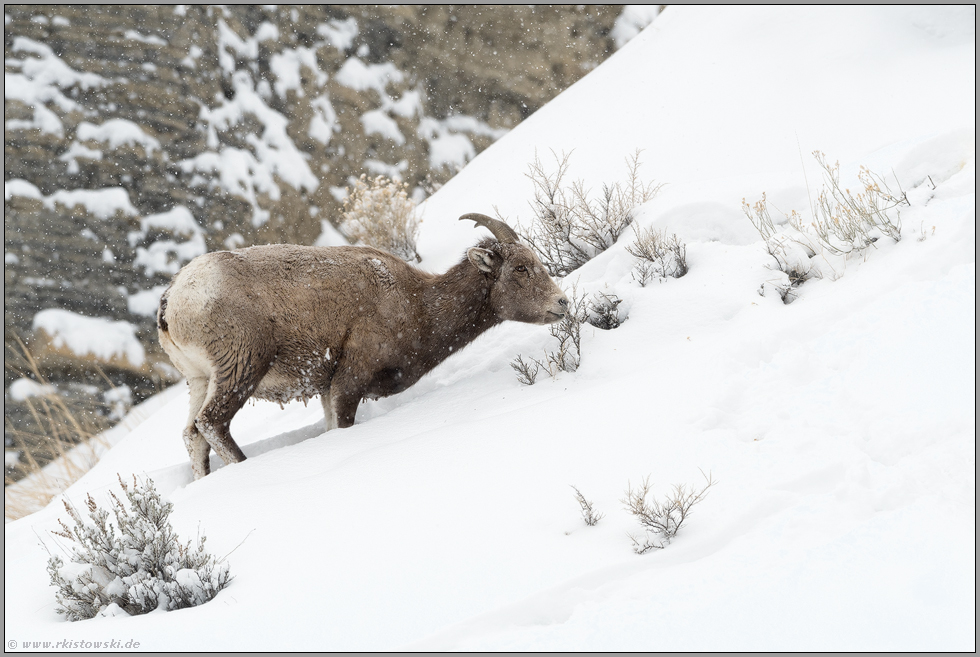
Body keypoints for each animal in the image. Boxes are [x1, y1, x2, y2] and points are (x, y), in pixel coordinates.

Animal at [159, 214, 568, 476]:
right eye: (520, 268)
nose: (562, 303)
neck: (417, 304)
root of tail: (172, 302)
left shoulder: (327, 391)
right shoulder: (348, 381)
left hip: (200, 380)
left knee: (193, 435)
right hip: (241, 368)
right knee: (212, 423)